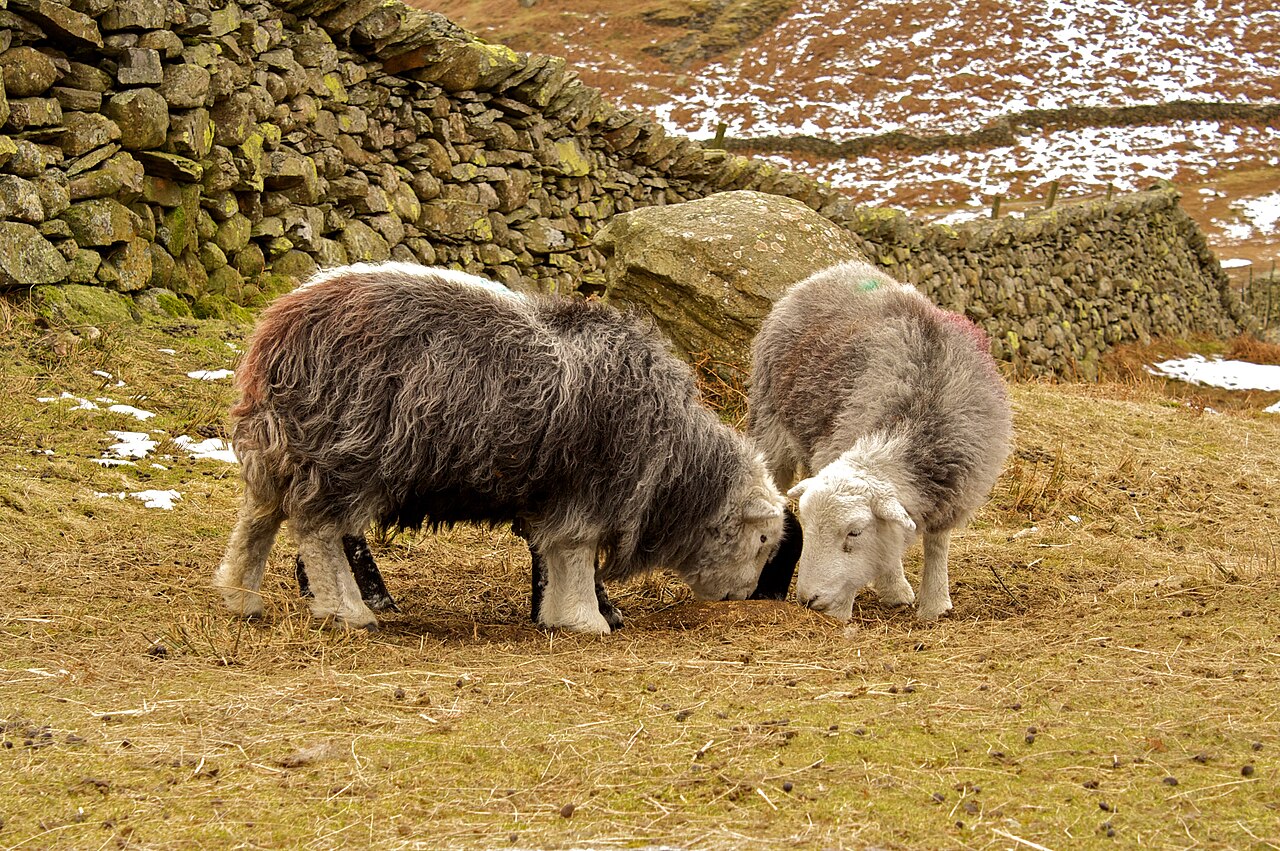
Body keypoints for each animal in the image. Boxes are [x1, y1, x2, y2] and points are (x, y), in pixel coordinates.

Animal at [214, 261, 786, 634]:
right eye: (761, 540)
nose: (742, 597)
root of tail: (280, 329)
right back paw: (348, 612)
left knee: (257, 519)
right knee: (320, 533)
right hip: (343, 453)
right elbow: (575, 556)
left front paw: (557, 616)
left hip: (280, 449)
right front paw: (588, 620)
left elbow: (552, 556)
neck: (673, 461)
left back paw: (241, 597)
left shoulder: (552, 498)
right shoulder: (587, 494)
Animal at [749, 260, 1012, 621]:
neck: (918, 415)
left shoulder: (959, 487)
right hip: (769, 419)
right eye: (809, 525)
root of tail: (835, 270)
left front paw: (934, 603)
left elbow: (937, 543)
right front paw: (886, 593)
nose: (810, 599)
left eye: (855, 532)